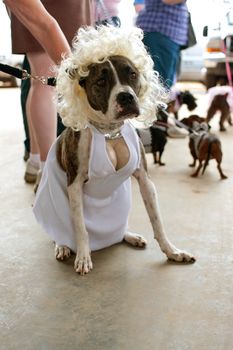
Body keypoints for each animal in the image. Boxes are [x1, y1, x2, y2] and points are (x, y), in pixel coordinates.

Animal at [33, 26, 195, 274]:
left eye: (132, 74)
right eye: (101, 81)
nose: (126, 96)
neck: (109, 133)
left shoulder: (145, 179)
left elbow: (157, 221)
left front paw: (172, 252)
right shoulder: (75, 185)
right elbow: (81, 227)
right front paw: (83, 257)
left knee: (118, 231)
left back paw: (129, 236)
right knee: (59, 232)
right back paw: (62, 246)